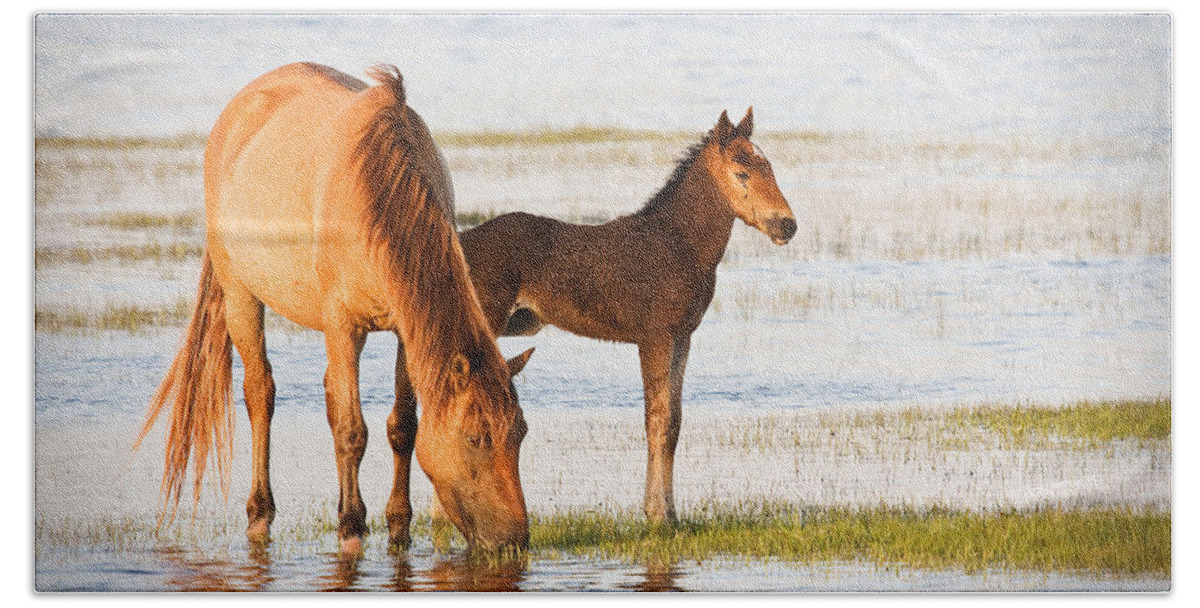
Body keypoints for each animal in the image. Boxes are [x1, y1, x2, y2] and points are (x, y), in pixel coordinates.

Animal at [136, 64, 535, 554]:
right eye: (477, 438)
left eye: (520, 433)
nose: (515, 539)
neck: (378, 191)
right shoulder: (344, 326)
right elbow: (351, 431)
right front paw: (352, 526)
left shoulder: (405, 329)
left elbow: (403, 427)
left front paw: (398, 524)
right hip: (241, 296)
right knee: (260, 394)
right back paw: (260, 513)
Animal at [458, 110, 796, 527]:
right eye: (742, 172)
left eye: (770, 167)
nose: (787, 224)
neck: (685, 247)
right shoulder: (654, 335)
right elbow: (657, 420)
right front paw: (658, 515)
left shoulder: (682, 336)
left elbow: (674, 421)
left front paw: (669, 512)